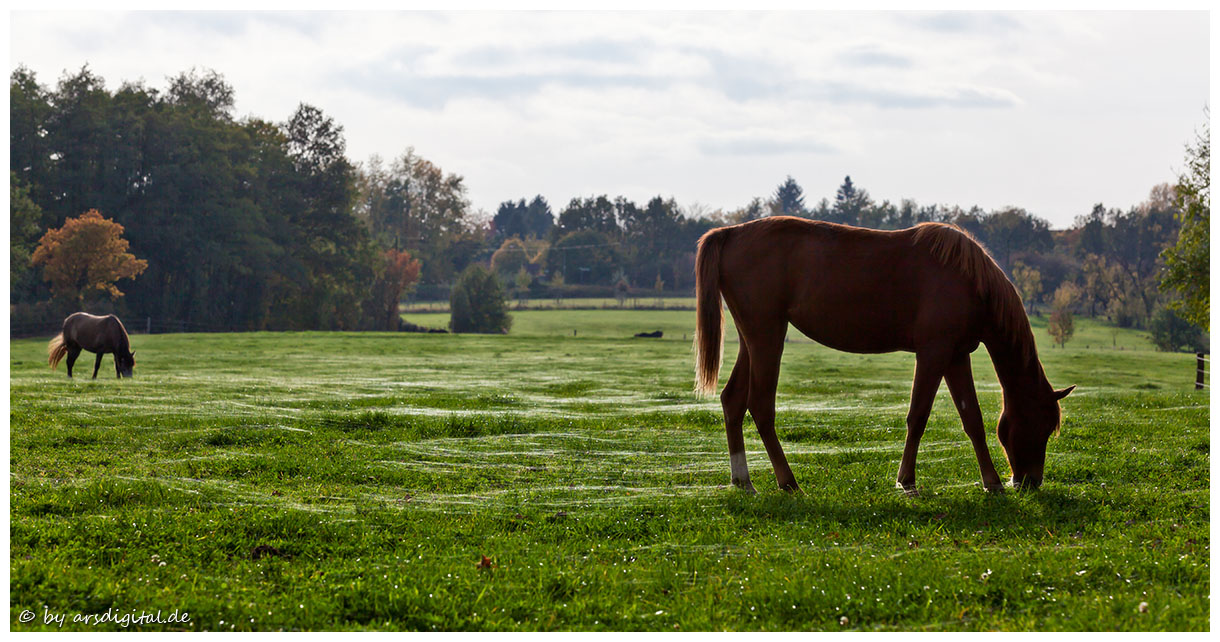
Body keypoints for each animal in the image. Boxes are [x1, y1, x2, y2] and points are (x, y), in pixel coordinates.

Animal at [697, 218, 1078, 495]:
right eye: (1042, 425)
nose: (1030, 481)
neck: (968, 279)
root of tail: (731, 233)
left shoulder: (956, 356)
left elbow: (972, 418)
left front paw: (992, 482)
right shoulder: (933, 353)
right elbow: (918, 416)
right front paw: (907, 481)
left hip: (754, 340)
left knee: (733, 400)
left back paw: (743, 481)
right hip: (767, 337)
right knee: (761, 407)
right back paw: (788, 482)